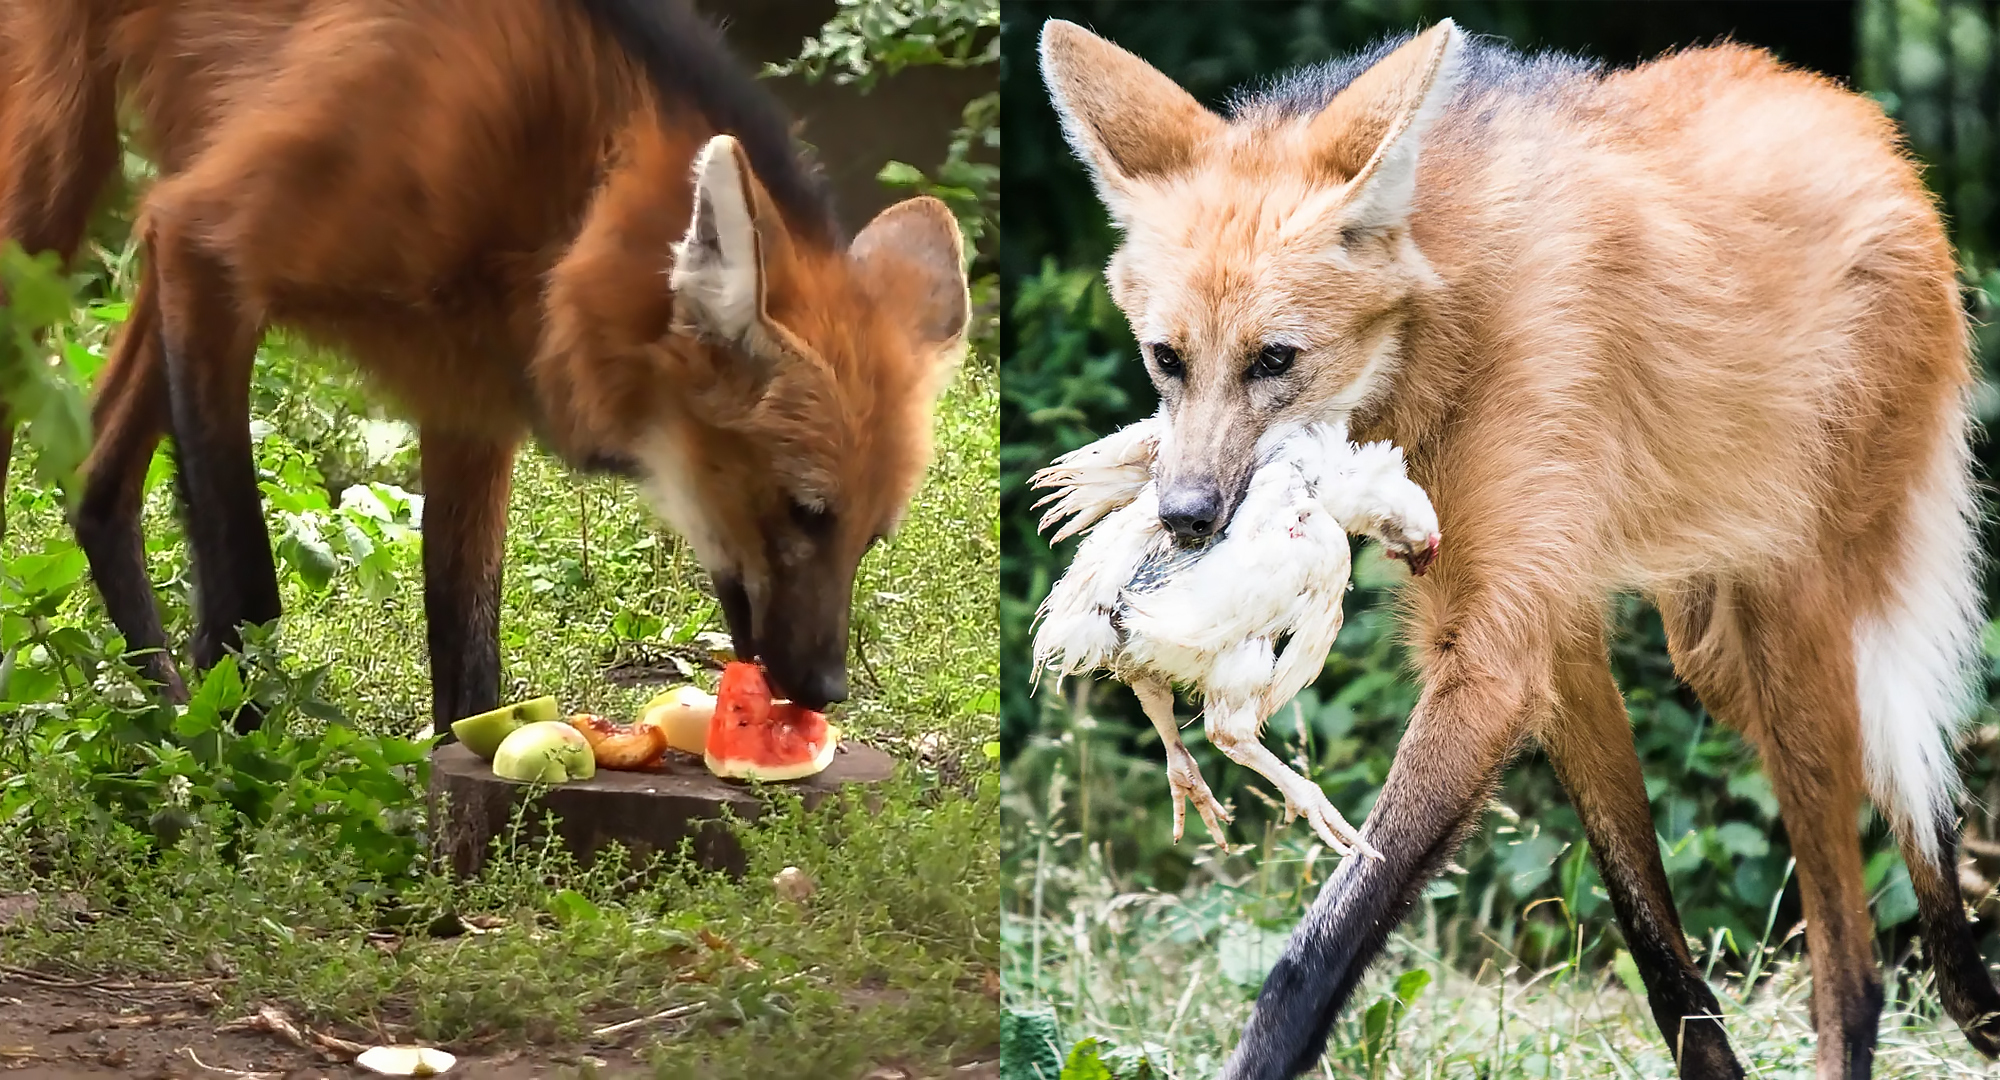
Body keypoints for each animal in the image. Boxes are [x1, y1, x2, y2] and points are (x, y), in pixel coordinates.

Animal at [0, 0, 969, 729]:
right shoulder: (212, 251)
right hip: (56, 184)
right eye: (807, 512)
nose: (825, 690)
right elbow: (246, 580)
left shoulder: (470, 384)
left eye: (870, 536)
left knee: (97, 479)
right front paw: (247, 772)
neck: (567, 181)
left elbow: (467, 644)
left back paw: (163, 713)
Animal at [1040, 16, 2000, 1080]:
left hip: (1796, 620)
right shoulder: (1551, 634)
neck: (1445, 328)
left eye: (1275, 360)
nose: (1185, 519)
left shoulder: (1496, 662)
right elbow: (1659, 954)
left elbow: (1315, 949)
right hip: (1713, 645)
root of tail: (1873, 131)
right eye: (1167, 359)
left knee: (1855, 963)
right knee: (1901, 773)